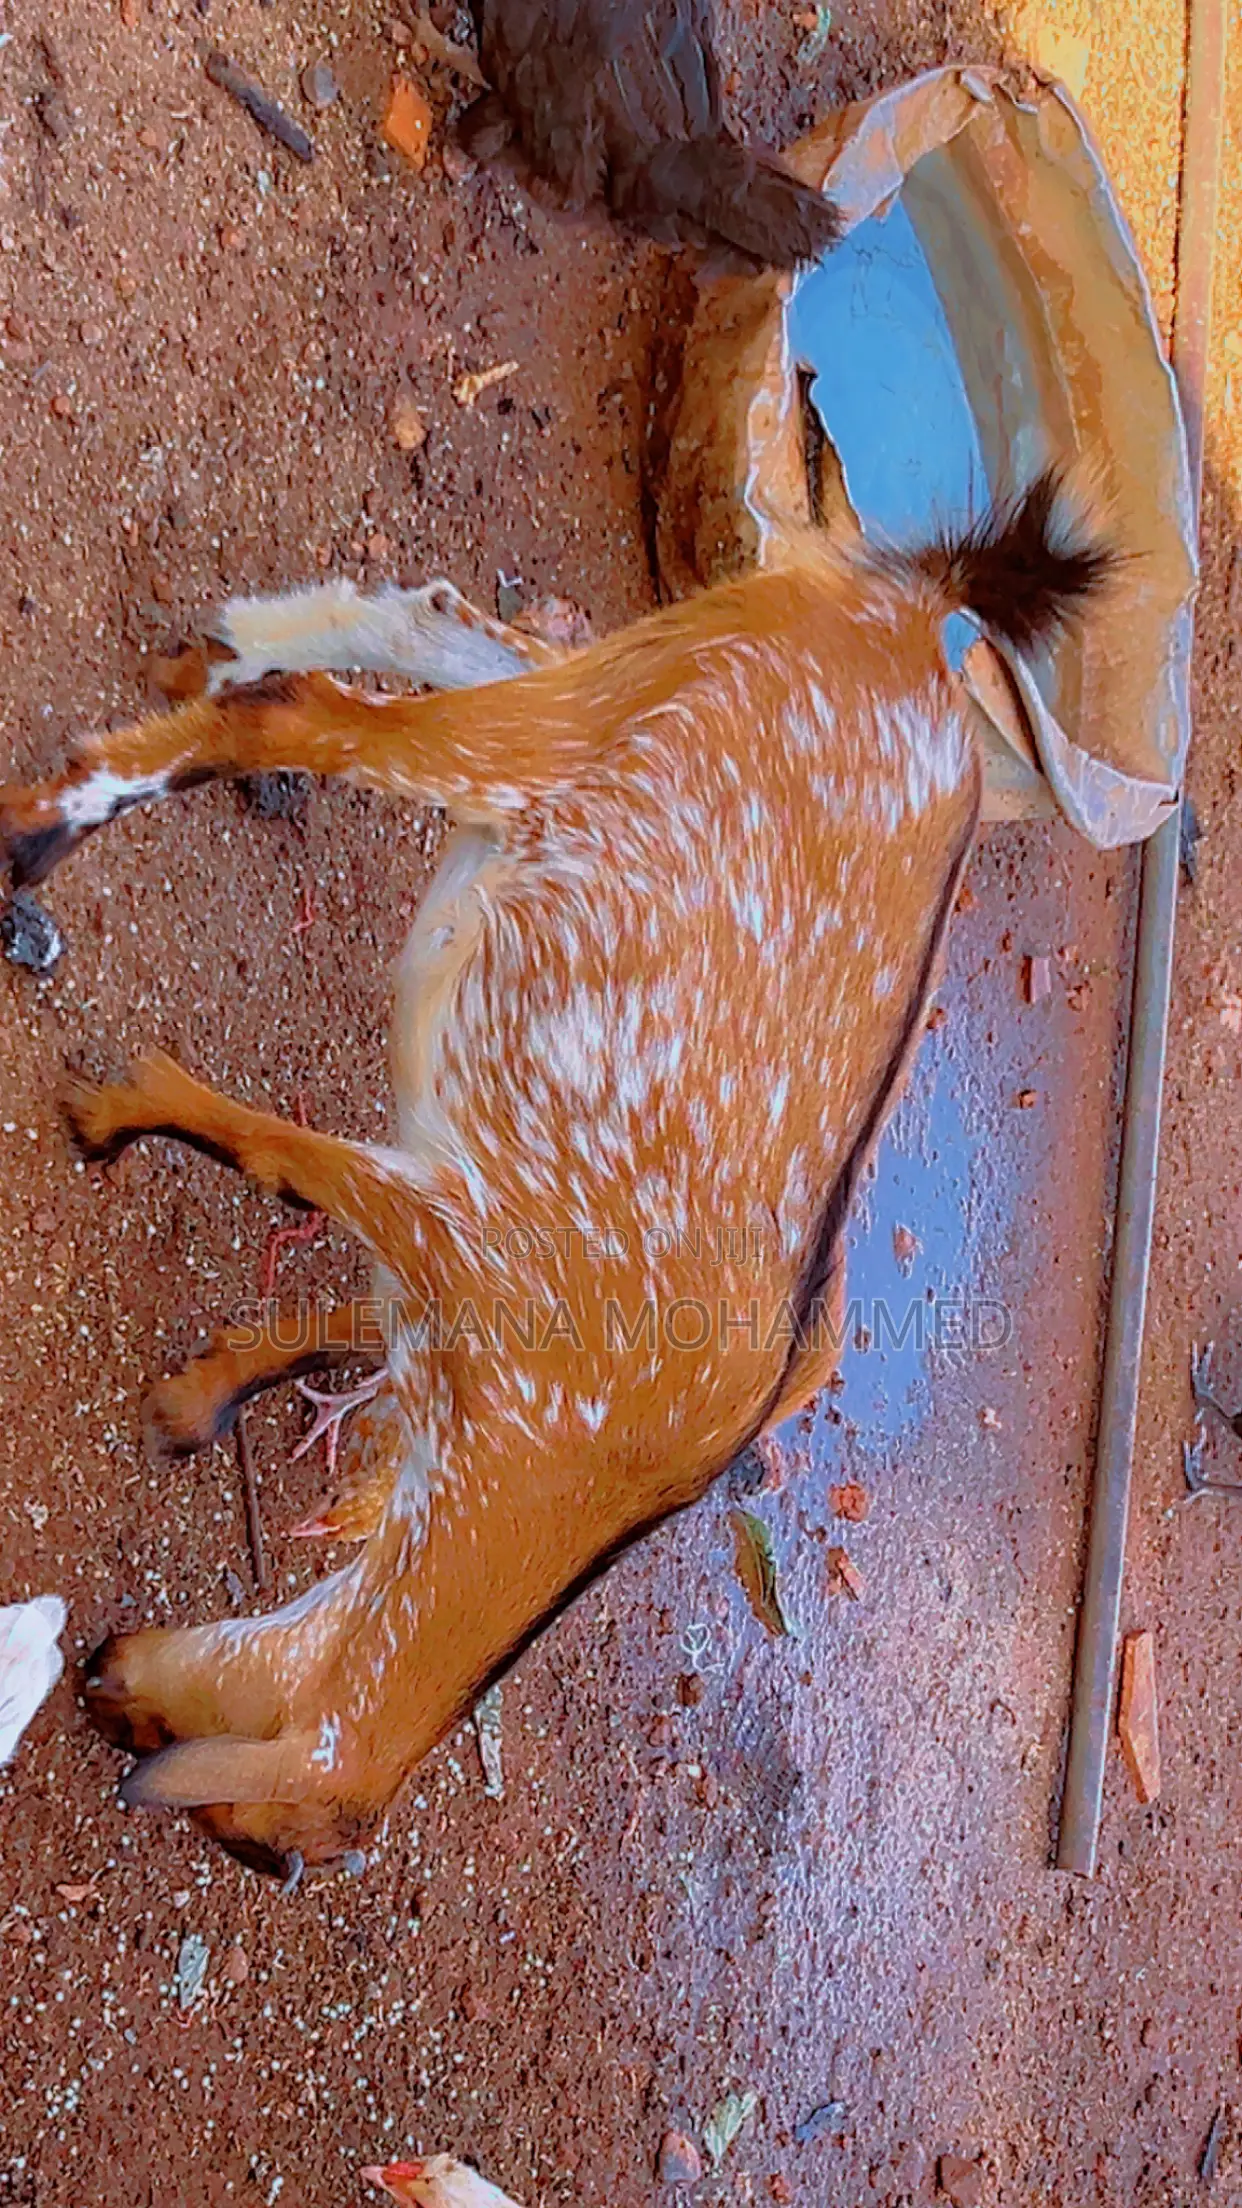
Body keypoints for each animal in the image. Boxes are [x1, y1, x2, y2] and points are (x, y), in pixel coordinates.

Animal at [0, 472, 1110, 1877]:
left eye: (222, 1820)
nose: (100, 1677)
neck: (560, 1462)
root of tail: (923, 618)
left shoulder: (436, 1244)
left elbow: (339, 1299)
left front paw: (195, 1396)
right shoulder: (458, 1231)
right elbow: (289, 1164)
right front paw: (117, 1111)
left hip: (617, 689)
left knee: (426, 625)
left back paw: (222, 650)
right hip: (578, 741)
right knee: (319, 716)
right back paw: (38, 832)